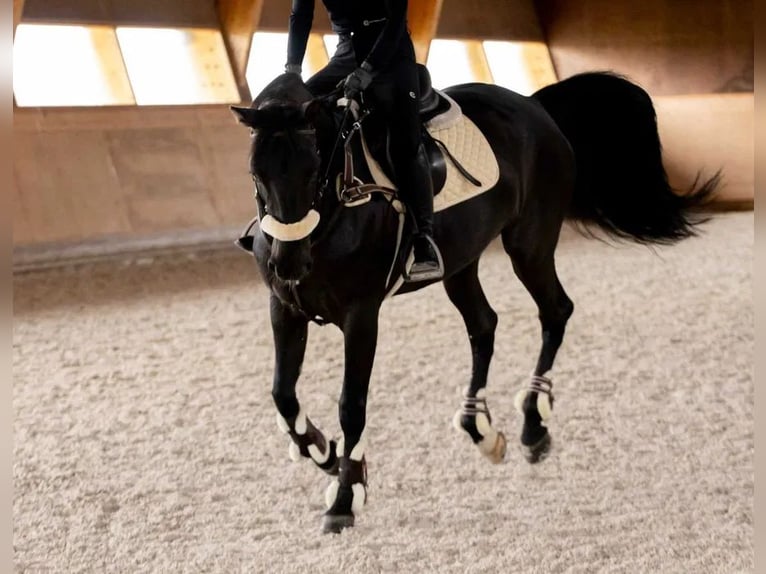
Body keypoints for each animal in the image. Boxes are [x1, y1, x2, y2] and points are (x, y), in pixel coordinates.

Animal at [230, 70, 718, 533]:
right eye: (255, 174)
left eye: (314, 169)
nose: (287, 262)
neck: (332, 217)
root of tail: (534, 106)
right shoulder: (285, 309)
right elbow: (282, 394)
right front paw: (323, 452)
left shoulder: (361, 315)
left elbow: (352, 406)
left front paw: (345, 498)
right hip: (460, 264)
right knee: (484, 325)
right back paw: (479, 426)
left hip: (529, 245)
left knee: (555, 311)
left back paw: (533, 424)